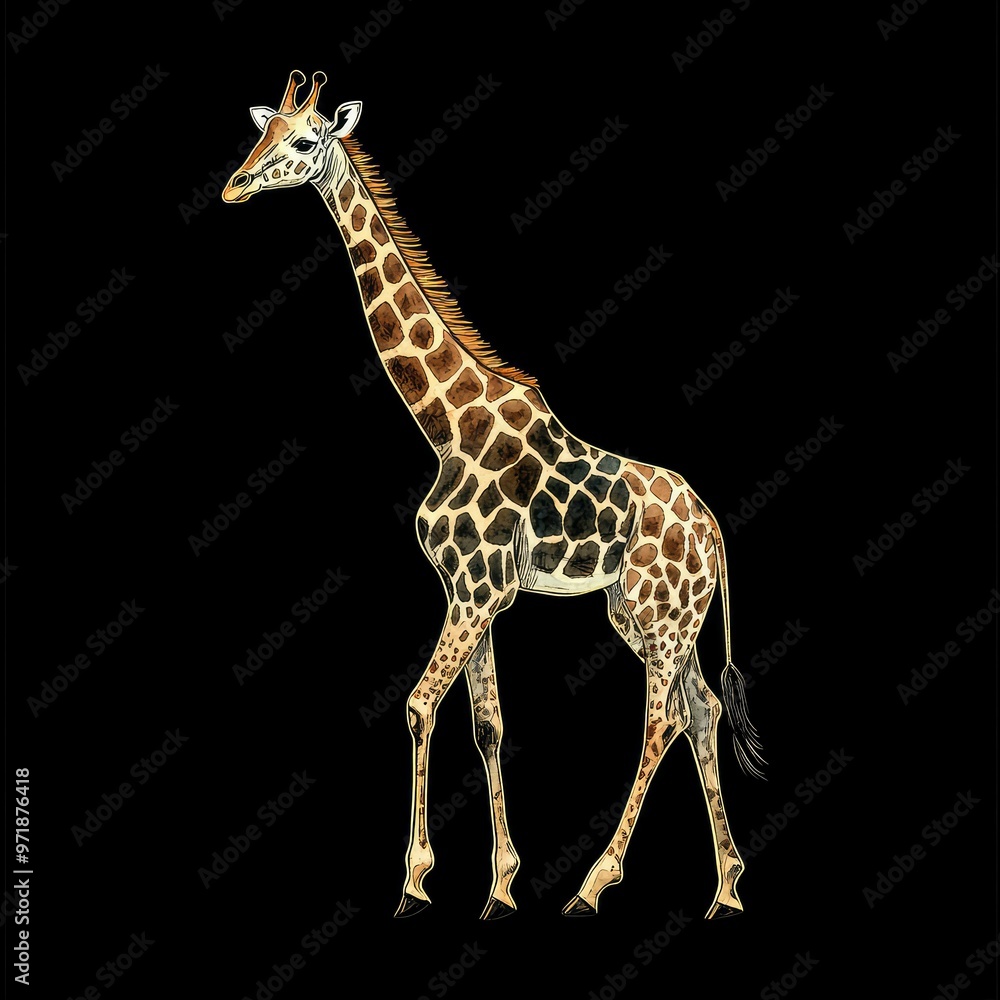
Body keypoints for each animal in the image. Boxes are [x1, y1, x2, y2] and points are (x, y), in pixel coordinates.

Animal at [222, 70, 765, 922]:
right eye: (260, 133)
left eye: (305, 140)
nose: (235, 185)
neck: (446, 423)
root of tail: (713, 531)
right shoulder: (472, 590)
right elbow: (487, 723)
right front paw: (500, 886)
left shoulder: (477, 591)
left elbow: (419, 705)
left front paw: (415, 884)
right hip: (655, 614)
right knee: (703, 710)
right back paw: (727, 890)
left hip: (658, 613)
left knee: (666, 717)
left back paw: (594, 883)